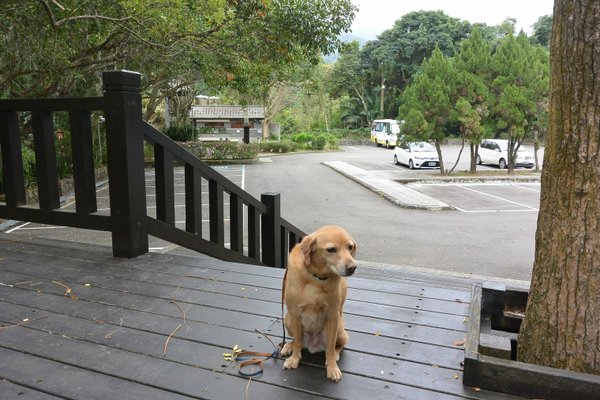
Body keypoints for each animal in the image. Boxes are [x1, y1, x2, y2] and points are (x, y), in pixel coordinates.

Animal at [280, 225, 356, 382]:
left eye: (350, 247)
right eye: (331, 249)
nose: (353, 267)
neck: (316, 279)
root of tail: (313, 345)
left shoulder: (333, 316)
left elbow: (330, 349)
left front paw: (332, 367)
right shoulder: (295, 314)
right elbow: (297, 342)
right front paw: (294, 358)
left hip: (340, 329)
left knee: (338, 346)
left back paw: (336, 354)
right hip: (288, 320)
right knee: (298, 341)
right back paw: (289, 346)